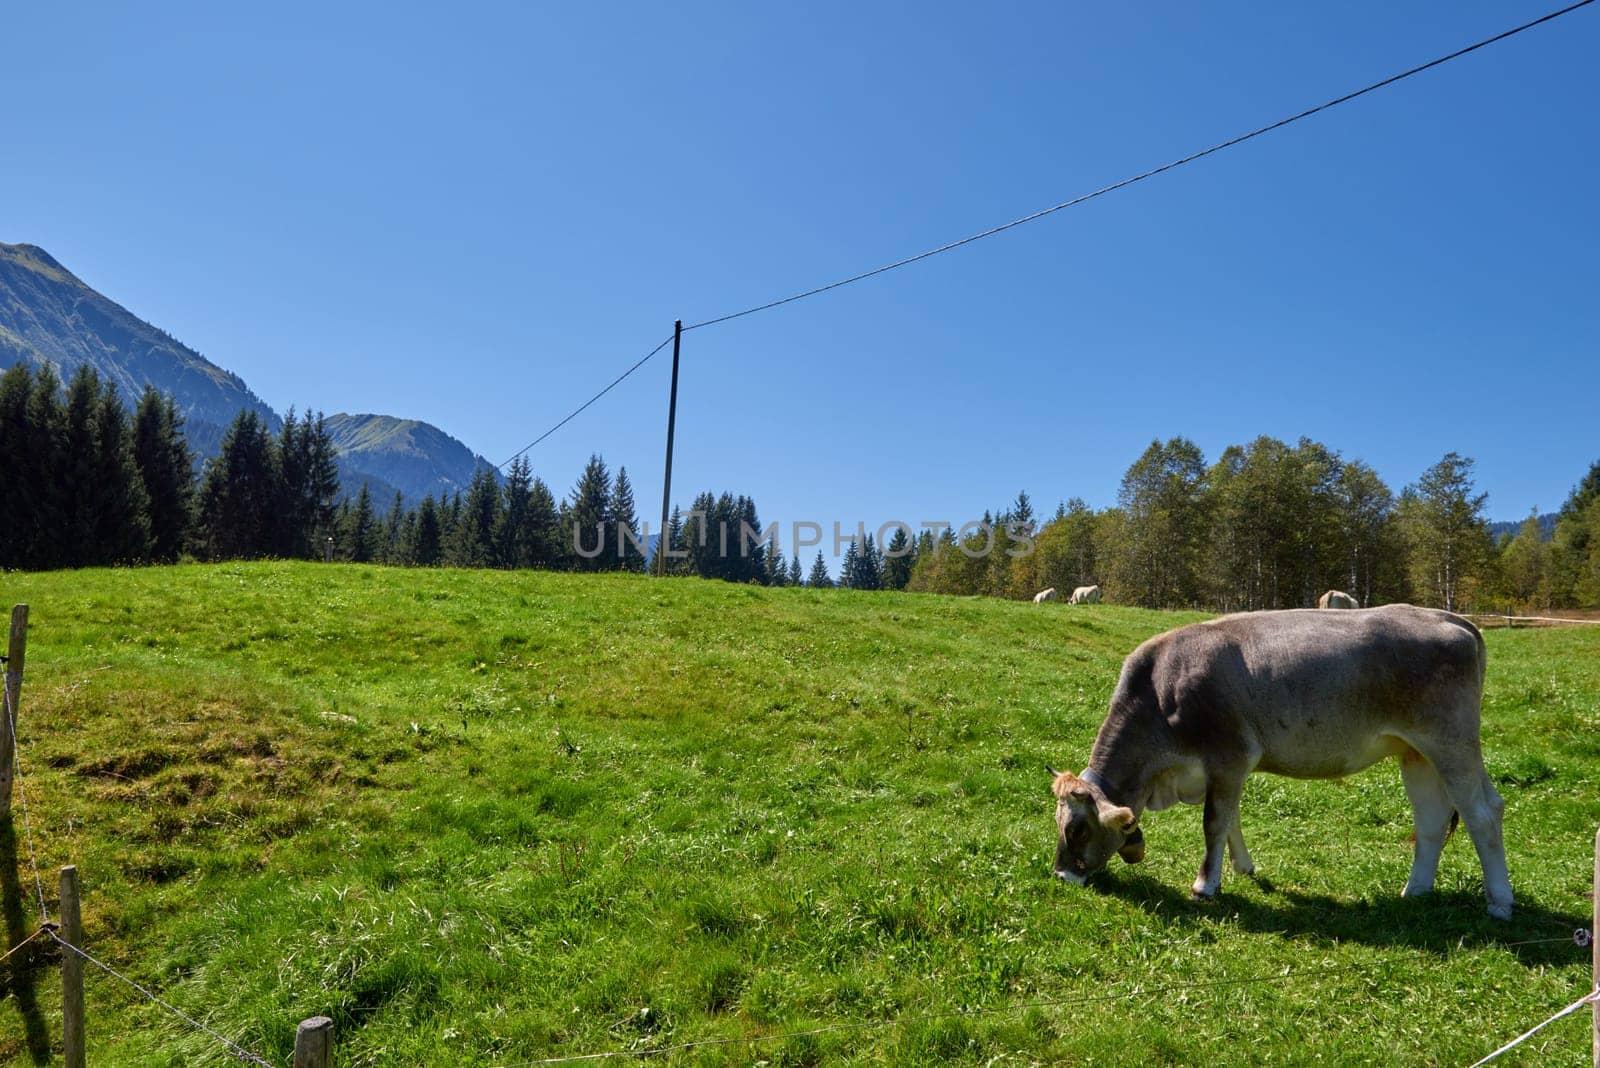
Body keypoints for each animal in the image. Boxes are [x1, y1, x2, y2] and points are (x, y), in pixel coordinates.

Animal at [1049, 604, 1510, 920]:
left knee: (1483, 813)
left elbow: (1214, 823)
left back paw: (1500, 903)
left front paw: (1204, 884)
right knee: (1432, 819)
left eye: (1077, 829)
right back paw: (1415, 891)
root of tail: (1449, 617)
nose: (1060, 876)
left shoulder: (1228, 755)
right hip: (1417, 753)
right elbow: (1231, 819)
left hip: (1452, 743)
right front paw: (1243, 867)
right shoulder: (1224, 771)